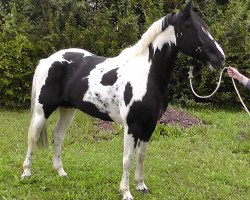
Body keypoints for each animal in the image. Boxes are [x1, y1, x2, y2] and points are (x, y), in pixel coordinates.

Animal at [21, 1, 225, 200]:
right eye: (193, 28)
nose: (221, 58)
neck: (146, 75)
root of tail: (47, 60)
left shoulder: (150, 125)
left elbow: (141, 155)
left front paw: (141, 186)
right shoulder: (132, 126)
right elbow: (128, 159)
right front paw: (126, 192)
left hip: (67, 109)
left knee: (57, 136)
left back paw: (61, 172)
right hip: (42, 110)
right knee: (32, 136)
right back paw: (26, 173)